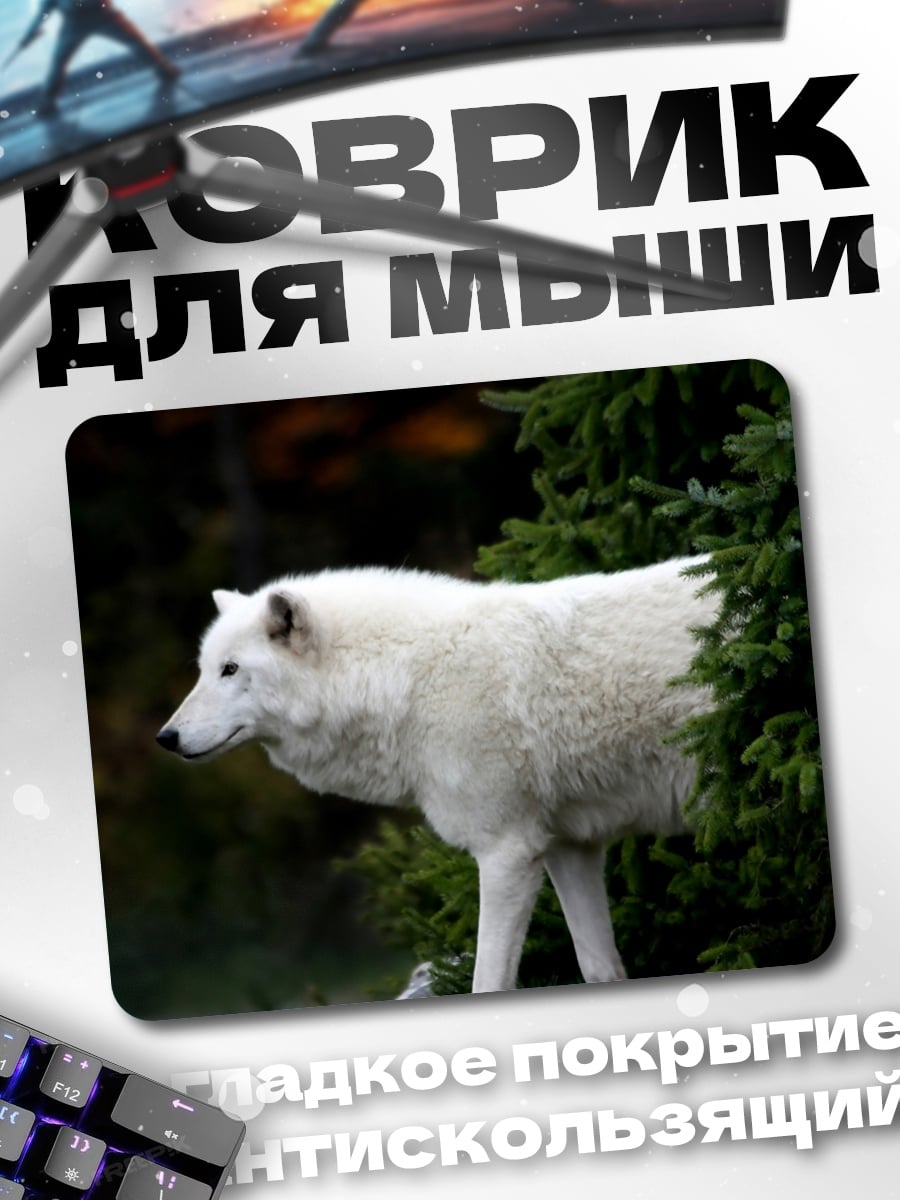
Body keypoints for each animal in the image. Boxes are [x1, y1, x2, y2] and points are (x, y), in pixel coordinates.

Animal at [156, 557, 717, 994]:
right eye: (204, 669)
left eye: (230, 670)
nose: (166, 737)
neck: (408, 678)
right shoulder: (568, 847)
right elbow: (600, 969)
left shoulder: (507, 853)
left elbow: (488, 983)